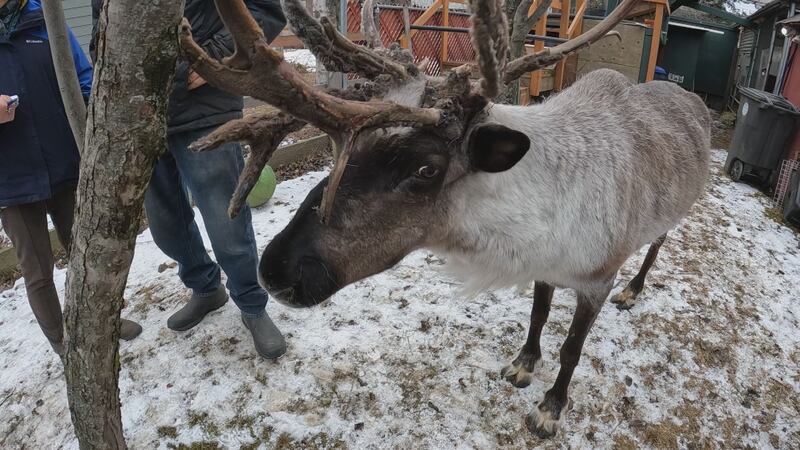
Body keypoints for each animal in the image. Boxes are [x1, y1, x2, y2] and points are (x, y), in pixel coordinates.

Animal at [179, 0, 711, 437]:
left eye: (425, 169)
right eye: (339, 151)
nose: (276, 270)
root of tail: (694, 98)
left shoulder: (596, 277)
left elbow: (572, 348)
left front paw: (549, 409)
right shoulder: (545, 267)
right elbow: (538, 316)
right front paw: (523, 364)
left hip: (675, 214)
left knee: (658, 245)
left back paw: (635, 290)